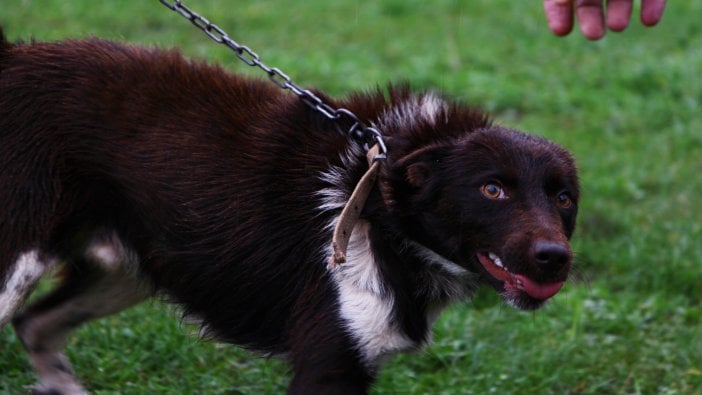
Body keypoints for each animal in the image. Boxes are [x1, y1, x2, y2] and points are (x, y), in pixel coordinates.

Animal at [0, 26, 580, 394]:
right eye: (492, 190)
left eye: (564, 198)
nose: (555, 257)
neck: (377, 205)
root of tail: (12, 56)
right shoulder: (328, 364)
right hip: (19, 261)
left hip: (125, 270)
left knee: (35, 325)